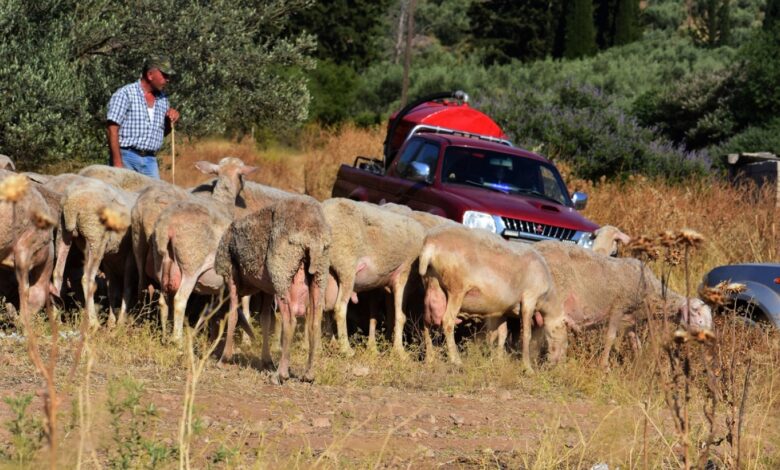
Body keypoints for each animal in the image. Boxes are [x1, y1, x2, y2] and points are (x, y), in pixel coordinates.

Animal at [215, 196, 330, 384]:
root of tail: (312, 234)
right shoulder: (267, 289)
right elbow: (265, 320)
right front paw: (267, 361)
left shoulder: (231, 276)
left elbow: (232, 316)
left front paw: (224, 359)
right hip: (319, 273)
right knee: (315, 320)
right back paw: (308, 374)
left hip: (281, 271)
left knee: (289, 320)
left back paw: (280, 375)